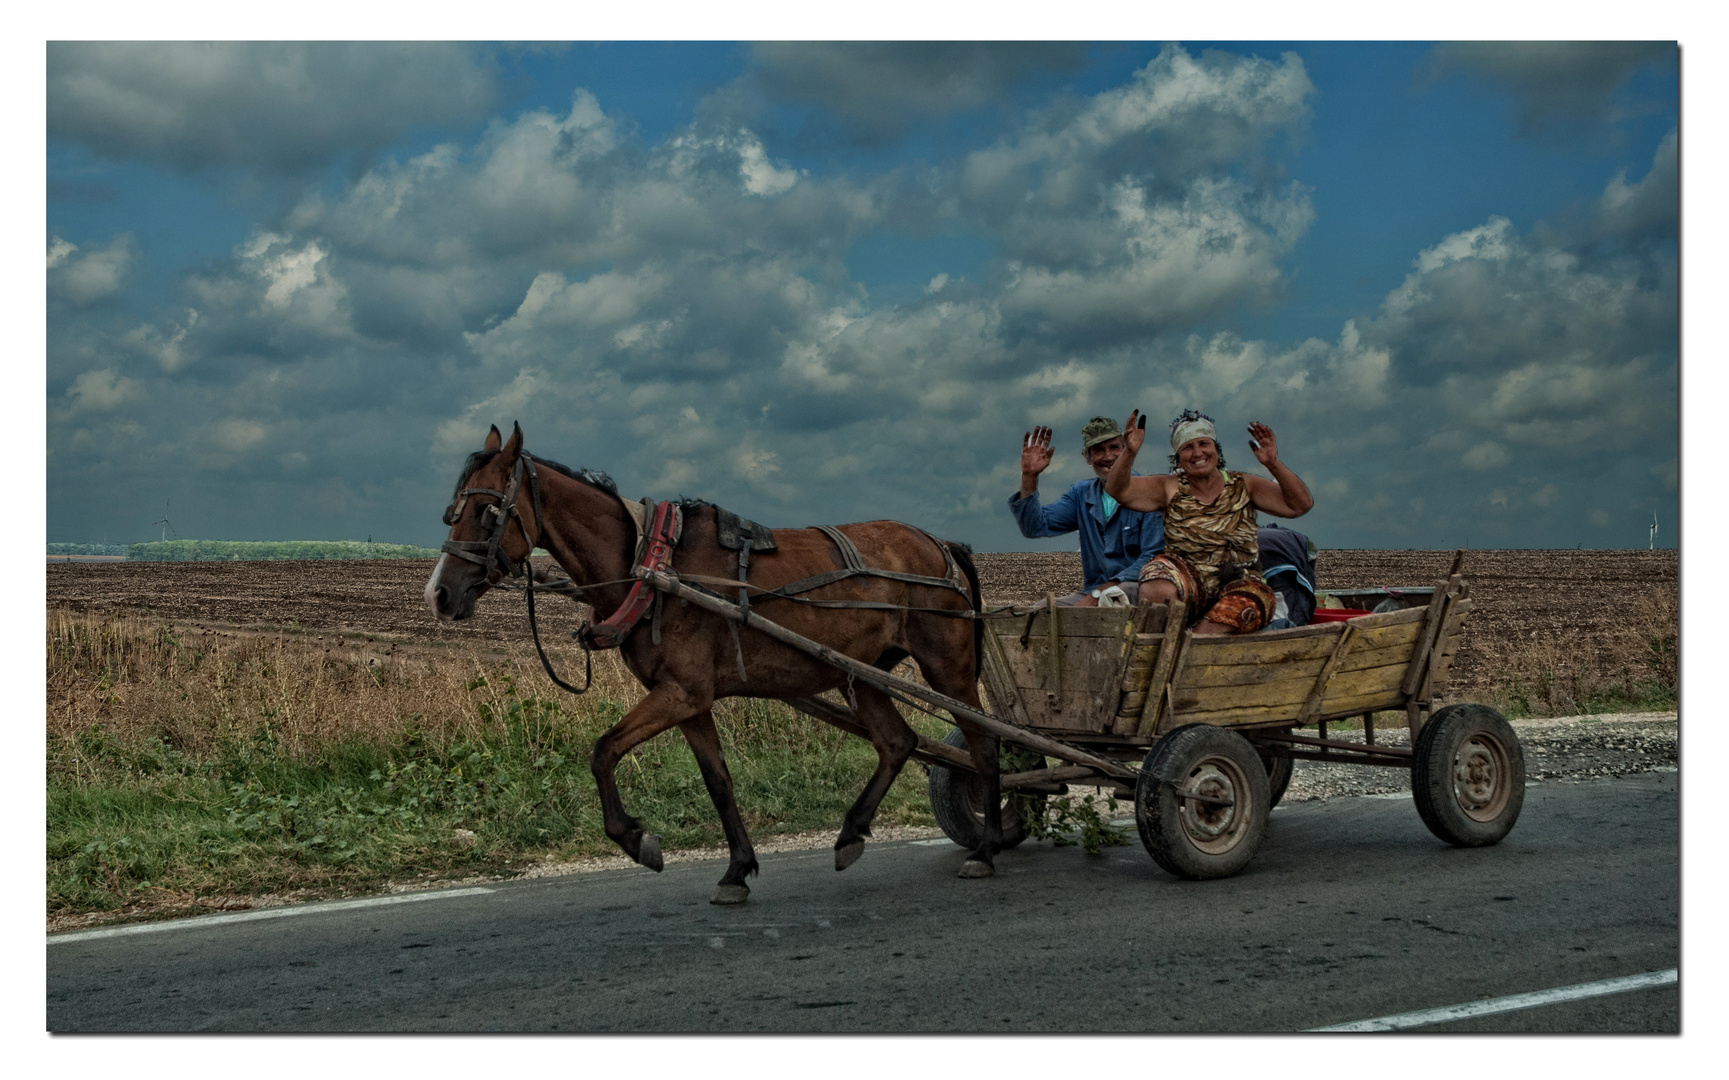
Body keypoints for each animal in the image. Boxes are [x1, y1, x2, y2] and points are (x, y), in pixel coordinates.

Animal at [423, 421, 1009, 898]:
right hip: (860, 673)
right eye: (452, 510)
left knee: (984, 743)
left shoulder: (680, 693)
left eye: (487, 512)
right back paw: (850, 835)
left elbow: (603, 750)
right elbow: (719, 783)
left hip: (949, 667)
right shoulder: (690, 700)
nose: (439, 595)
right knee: (897, 742)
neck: (651, 565)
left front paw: (637, 840)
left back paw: (986, 846)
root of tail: (942, 543)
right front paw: (736, 871)